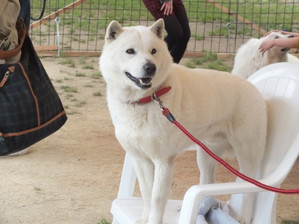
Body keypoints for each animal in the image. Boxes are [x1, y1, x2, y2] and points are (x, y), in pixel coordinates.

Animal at [99, 19, 268, 224]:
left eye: (153, 51)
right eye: (130, 51)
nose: (150, 68)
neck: (147, 99)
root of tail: (253, 87)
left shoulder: (164, 162)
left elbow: (157, 198)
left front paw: (154, 220)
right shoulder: (141, 160)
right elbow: (146, 193)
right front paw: (145, 218)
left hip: (246, 155)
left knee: (251, 187)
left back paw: (244, 217)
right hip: (206, 156)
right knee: (208, 182)